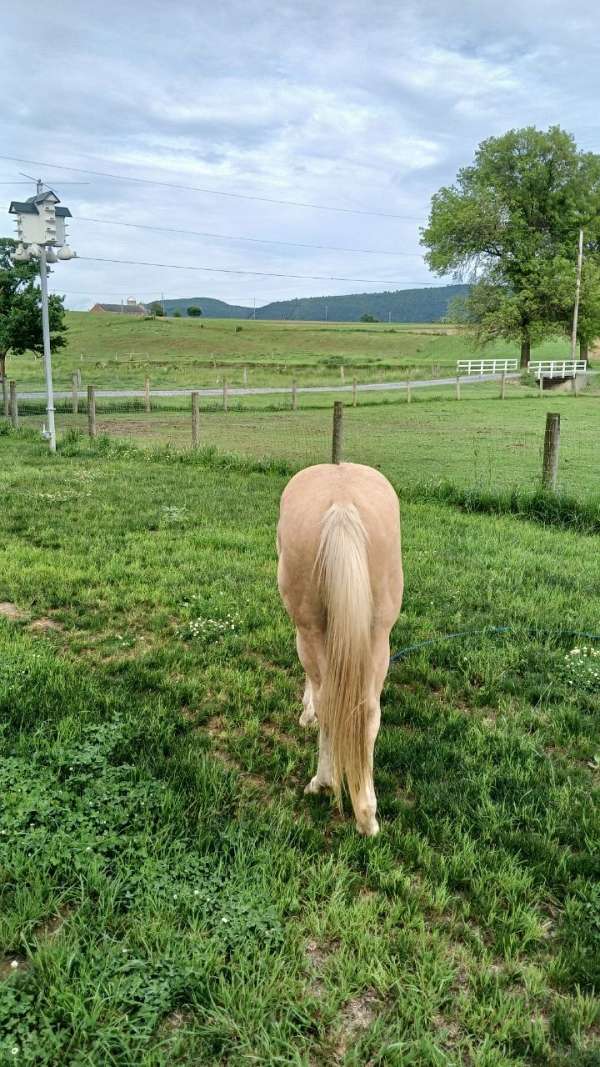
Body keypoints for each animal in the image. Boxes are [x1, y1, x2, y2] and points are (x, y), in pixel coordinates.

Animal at [277, 462, 403, 835]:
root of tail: (343, 506)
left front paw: (306, 714)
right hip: (378, 637)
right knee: (369, 714)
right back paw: (367, 816)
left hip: (310, 631)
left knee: (329, 703)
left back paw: (323, 783)